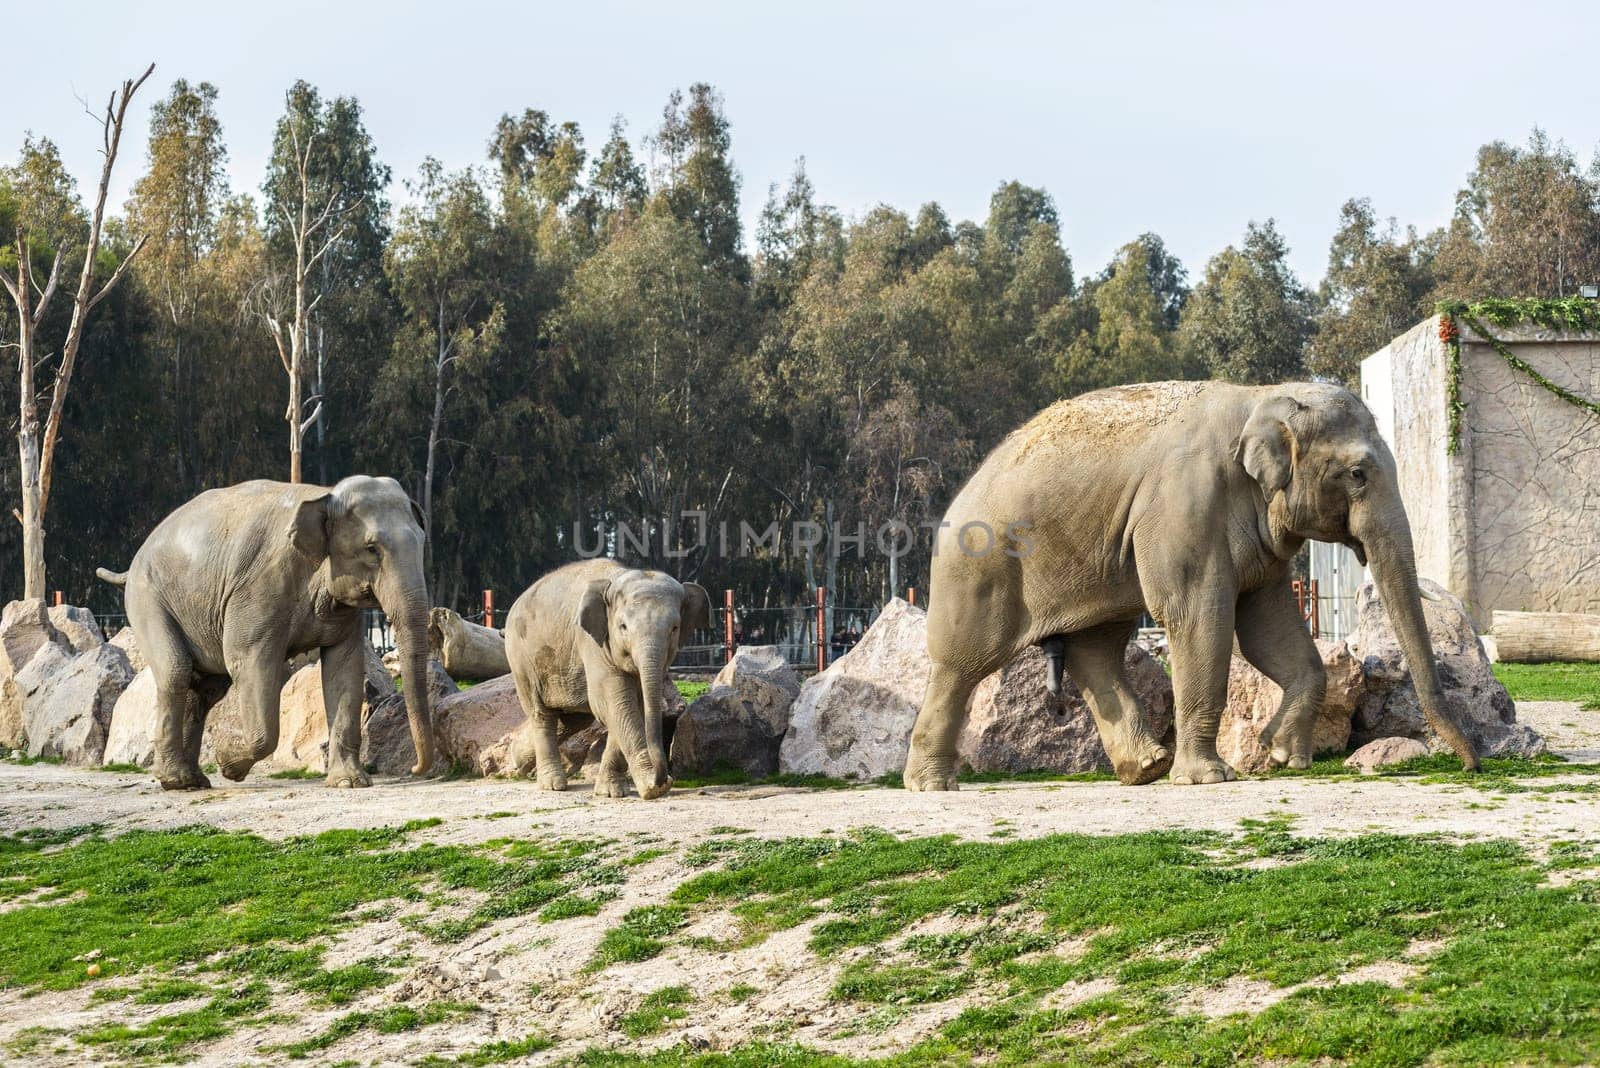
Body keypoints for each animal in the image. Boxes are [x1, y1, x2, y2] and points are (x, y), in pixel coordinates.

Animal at [103, 479, 435, 789]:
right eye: (371, 548)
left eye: (422, 542)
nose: (414, 769)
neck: (323, 495)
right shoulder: (258, 588)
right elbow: (248, 662)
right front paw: (228, 764)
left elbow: (345, 668)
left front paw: (349, 782)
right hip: (148, 599)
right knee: (176, 672)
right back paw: (175, 781)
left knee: (206, 689)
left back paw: (193, 780)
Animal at [505, 559, 707, 799]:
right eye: (623, 627)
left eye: (674, 628)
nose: (663, 780)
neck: (619, 575)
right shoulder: (592, 641)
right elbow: (614, 702)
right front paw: (650, 789)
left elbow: (630, 706)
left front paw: (610, 791)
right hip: (521, 660)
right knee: (542, 714)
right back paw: (552, 784)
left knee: (570, 719)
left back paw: (516, 758)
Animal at [908, 383, 1478, 793]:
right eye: (1358, 474)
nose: (1472, 765)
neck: (1262, 396)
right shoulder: (1185, 507)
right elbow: (1200, 615)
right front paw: (1210, 779)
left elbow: (1266, 627)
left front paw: (1282, 756)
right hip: (980, 567)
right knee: (963, 662)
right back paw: (932, 786)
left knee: (1096, 649)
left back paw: (1146, 769)